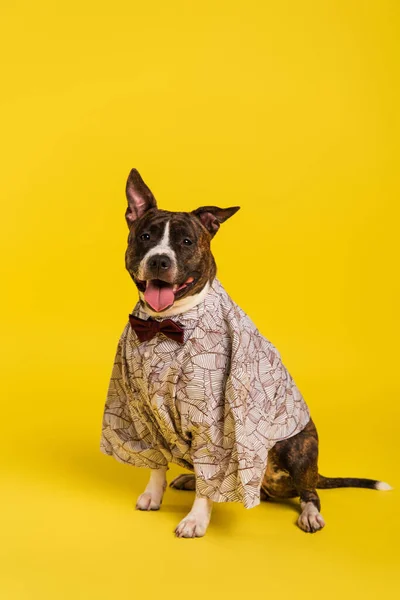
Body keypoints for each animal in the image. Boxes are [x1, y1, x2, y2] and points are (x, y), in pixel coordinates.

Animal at [99, 169, 390, 540]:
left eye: (187, 242)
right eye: (145, 236)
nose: (159, 260)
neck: (167, 325)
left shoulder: (213, 423)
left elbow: (210, 477)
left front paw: (195, 520)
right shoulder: (142, 414)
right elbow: (156, 461)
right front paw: (153, 494)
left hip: (298, 445)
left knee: (308, 491)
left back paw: (310, 514)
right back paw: (189, 477)